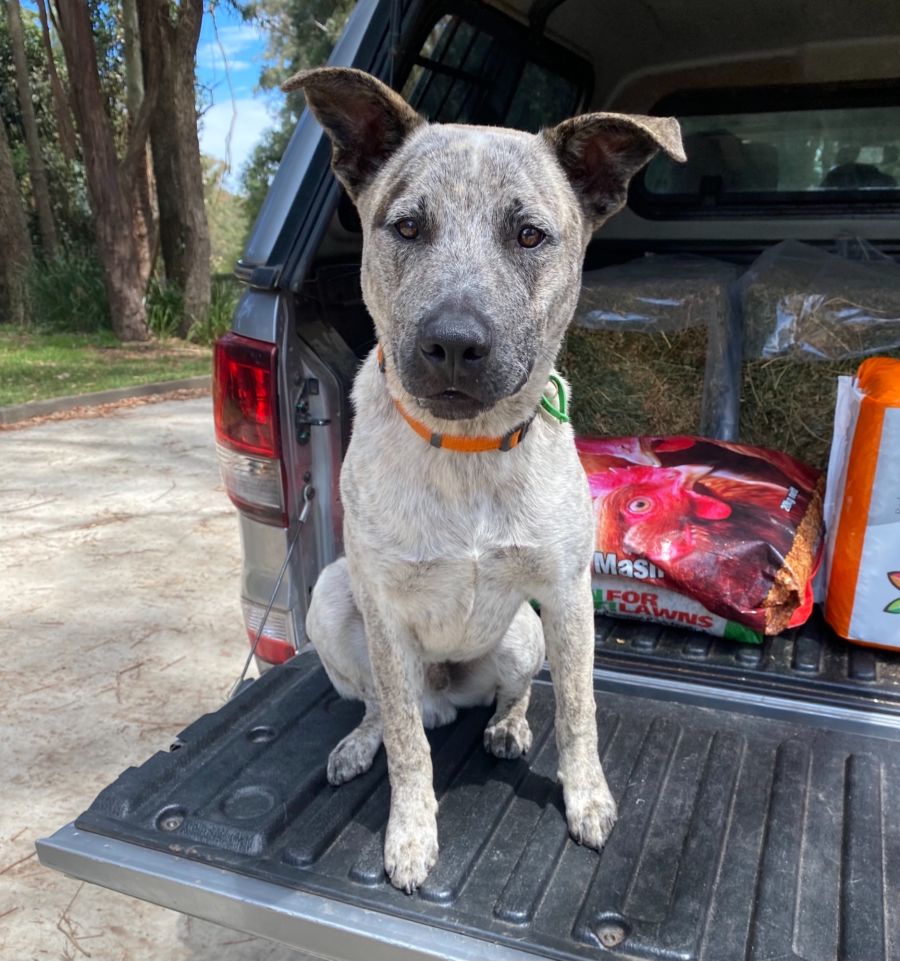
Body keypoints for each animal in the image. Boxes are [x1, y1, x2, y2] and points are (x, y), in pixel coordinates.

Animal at [286, 66, 685, 893]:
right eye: (407, 227)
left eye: (529, 234)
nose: (453, 344)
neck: (467, 454)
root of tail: (448, 689)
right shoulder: (382, 610)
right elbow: (407, 743)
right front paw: (410, 833)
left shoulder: (565, 595)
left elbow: (579, 709)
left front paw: (585, 798)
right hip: (334, 600)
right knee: (384, 706)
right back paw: (362, 741)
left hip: (523, 632)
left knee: (515, 689)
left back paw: (503, 725)